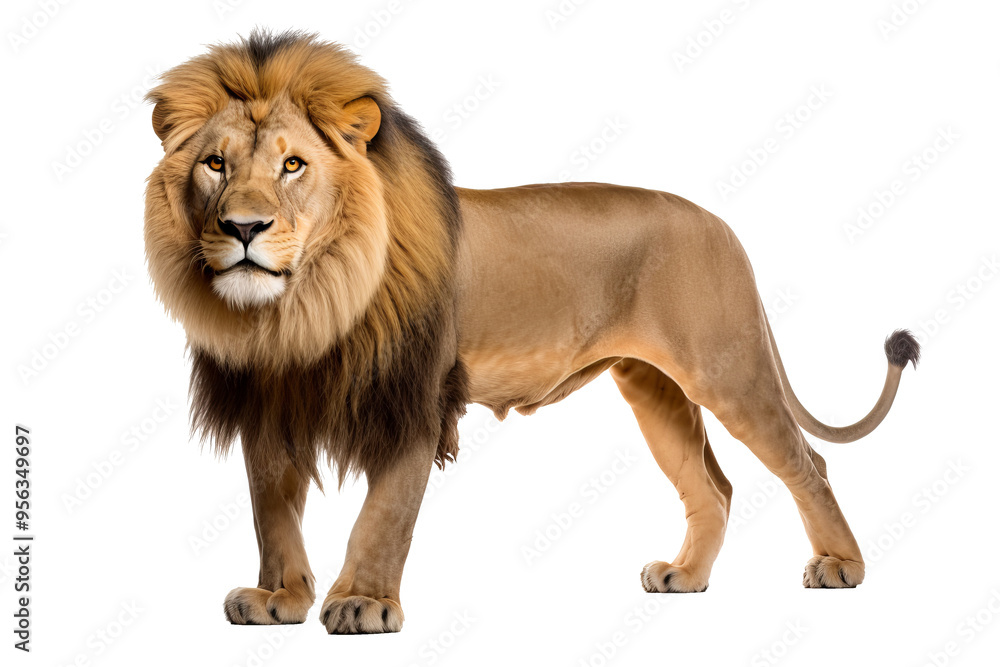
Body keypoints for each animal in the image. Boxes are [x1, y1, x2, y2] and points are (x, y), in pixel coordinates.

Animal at [144, 30, 919, 634]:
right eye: (216, 164)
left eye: (293, 164)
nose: (243, 228)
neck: (299, 311)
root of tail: (721, 224)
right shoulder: (267, 404)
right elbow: (271, 513)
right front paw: (279, 598)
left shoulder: (418, 398)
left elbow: (383, 513)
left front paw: (363, 602)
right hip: (654, 389)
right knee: (715, 487)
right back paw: (686, 575)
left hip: (727, 368)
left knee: (807, 464)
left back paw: (841, 565)